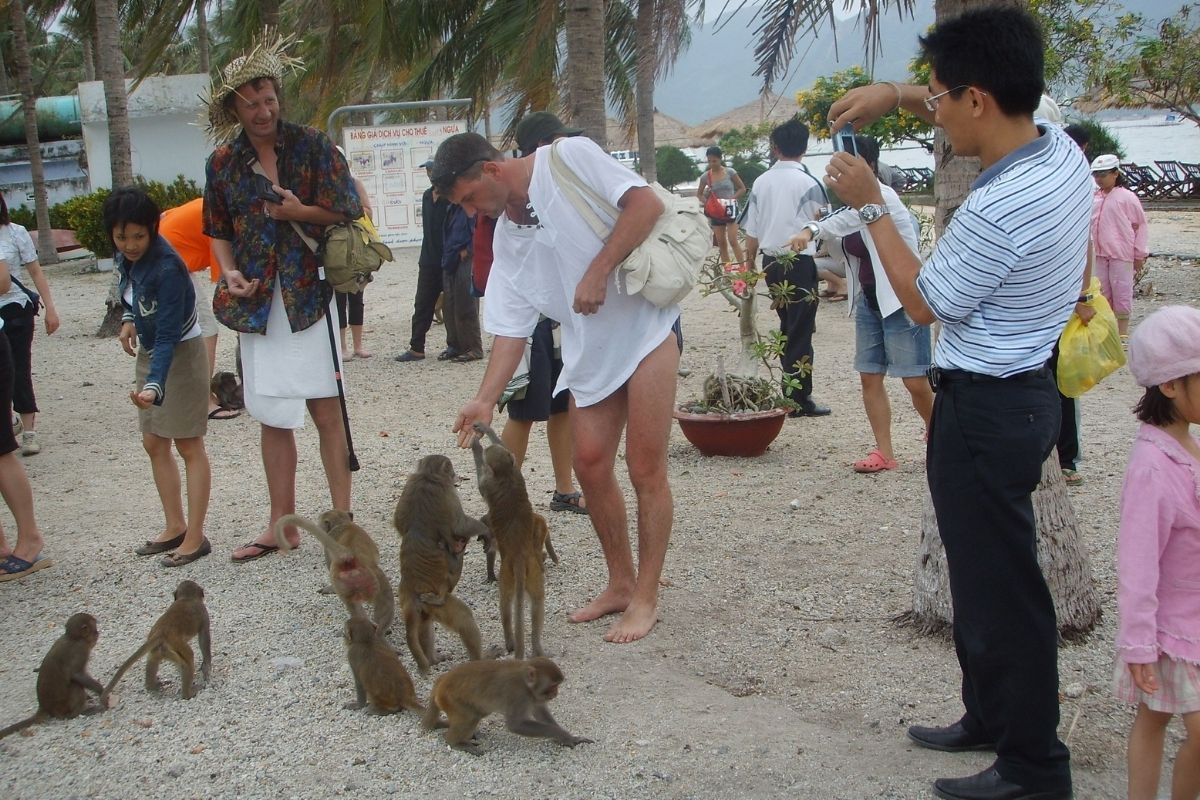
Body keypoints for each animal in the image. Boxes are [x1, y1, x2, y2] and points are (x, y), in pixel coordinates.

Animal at [391, 455, 489, 676]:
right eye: (451, 471)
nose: (456, 476)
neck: (428, 475)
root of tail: (411, 592)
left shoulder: (410, 484)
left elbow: (399, 523)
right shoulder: (446, 491)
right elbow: (460, 525)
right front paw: (485, 529)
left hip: (420, 605)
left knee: (424, 625)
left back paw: (433, 659)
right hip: (433, 601)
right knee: (464, 617)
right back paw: (481, 659)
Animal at [420, 652, 592, 753]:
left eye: (557, 685)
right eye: (552, 686)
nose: (556, 693)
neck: (525, 682)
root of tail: (442, 680)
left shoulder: (532, 696)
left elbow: (539, 711)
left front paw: (566, 737)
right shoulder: (518, 695)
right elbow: (516, 725)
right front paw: (560, 734)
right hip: (451, 699)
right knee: (470, 717)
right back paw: (455, 742)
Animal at [470, 422, 549, 662]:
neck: (505, 476)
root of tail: (520, 556)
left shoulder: (489, 483)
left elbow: (481, 483)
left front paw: (476, 445)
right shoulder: (517, 472)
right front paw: (486, 431)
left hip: (507, 574)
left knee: (505, 606)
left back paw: (510, 642)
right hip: (534, 571)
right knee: (537, 605)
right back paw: (536, 646)